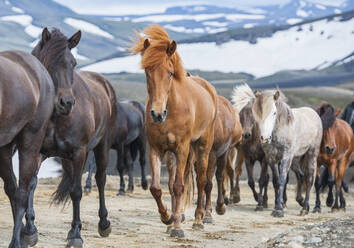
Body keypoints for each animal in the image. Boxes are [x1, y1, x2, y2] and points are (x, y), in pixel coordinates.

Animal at [27, 28, 117, 247]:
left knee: (100, 179)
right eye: (47, 62)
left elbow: (76, 191)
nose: (66, 102)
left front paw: (76, 233)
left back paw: (104, 223)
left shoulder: (78, 152)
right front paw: (30, 229)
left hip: (102, 146)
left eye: (73, 63)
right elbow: (31, 184)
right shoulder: (37, 152)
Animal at [132, 24, 217, 236]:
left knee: (201, 181)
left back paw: (198, 220)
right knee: (171, 184)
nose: (157, 114)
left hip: (202, 147)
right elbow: (157, 188)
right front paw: (167, 218)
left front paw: (178, 226)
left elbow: (179, 186)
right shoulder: (156, 149)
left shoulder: (182, 148)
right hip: (172, 155)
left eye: (170, 73)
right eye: (147, 72)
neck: (171, 111)